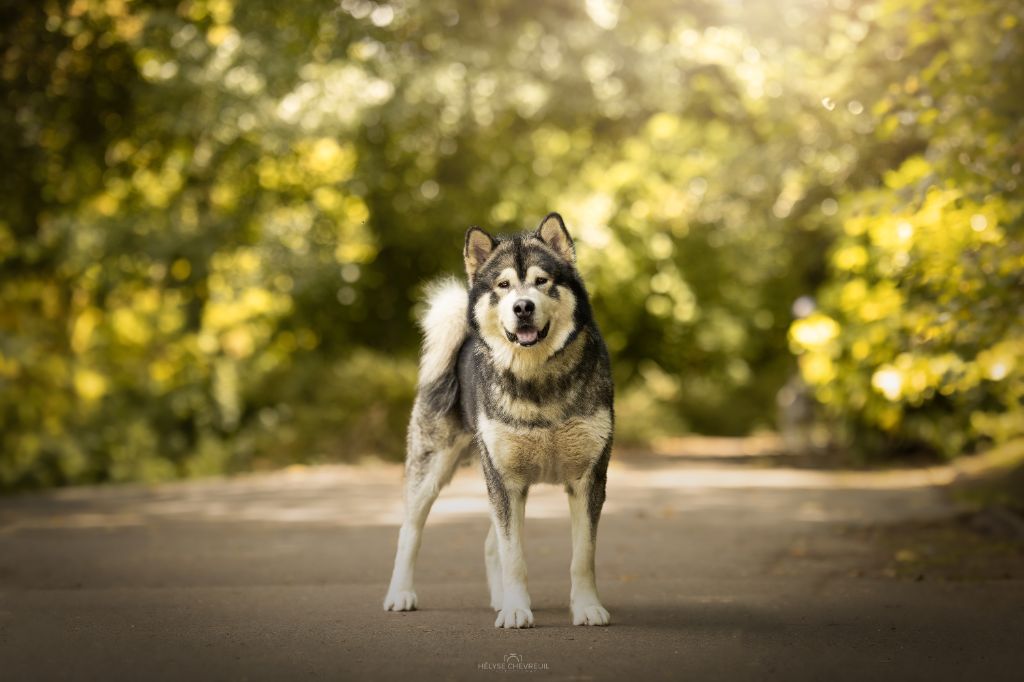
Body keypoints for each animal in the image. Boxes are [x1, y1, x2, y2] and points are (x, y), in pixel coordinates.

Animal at [380, 212, 610, 626]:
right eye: (503, 285)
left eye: (541, 281)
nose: (523, 307)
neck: (536, 379)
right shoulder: (506, 482)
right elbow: (513, 556)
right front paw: (517, 611)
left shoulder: (587, 479)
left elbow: (582, 557)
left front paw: (586, 607)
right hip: (431, 470)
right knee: (410, 531)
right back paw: (401, 593)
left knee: (490, 543)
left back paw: (499, 598)